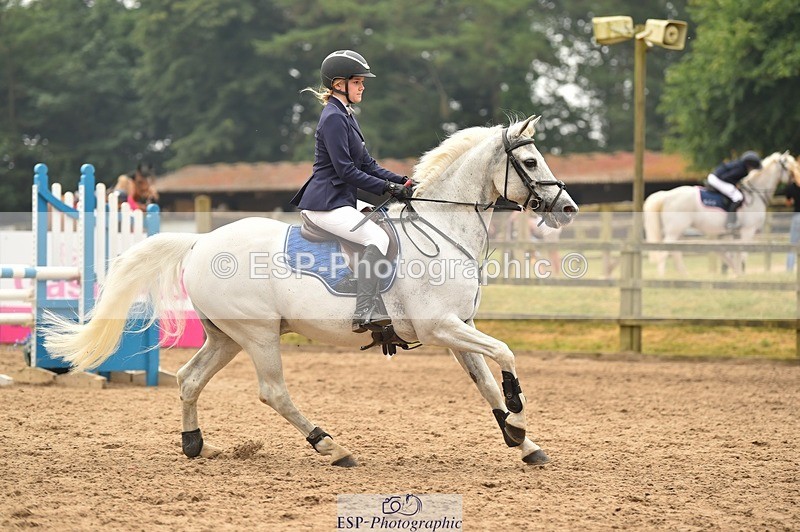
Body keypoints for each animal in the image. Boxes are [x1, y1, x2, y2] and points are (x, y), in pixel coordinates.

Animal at [42, 115, 578, 467]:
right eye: (530, 160)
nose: (568, 208)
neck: (443, 229)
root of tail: (199, 242)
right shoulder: (440, 327)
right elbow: (504, 354)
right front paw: (518, 413)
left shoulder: (457, 328)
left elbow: (484, 379)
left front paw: (523, 442)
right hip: (258, 335)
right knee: (273, 391)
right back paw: (331, 446)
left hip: (226, 336)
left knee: (190, 379)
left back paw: (195, 444)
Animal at [643, 152, 798, 276]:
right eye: (790, 168)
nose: (795, 184)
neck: (755, 194)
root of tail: (666, 195)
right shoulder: (748, 231)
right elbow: (742, 254)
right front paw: (740, 273)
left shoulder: (729, 234)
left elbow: (730, 254)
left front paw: (735, 273)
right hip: (675, 231)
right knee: (664, 252)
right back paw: (662, 277)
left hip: (678, 232)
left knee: (675, 252)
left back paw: (684, 275)